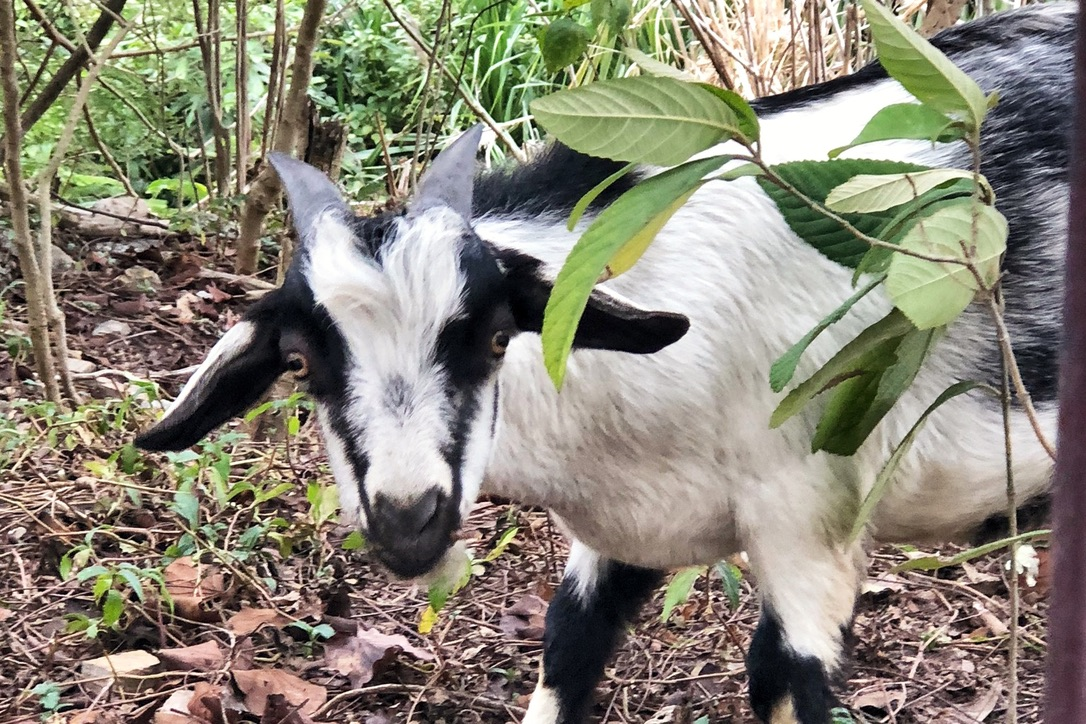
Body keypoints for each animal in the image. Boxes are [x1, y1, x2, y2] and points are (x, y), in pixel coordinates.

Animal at [135, 5, 1071, 723]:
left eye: (494, 336)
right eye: (301, 361)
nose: (408, 521)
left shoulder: (810, 526)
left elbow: (789, 681)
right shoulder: (631, 528)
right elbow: (571, 644)